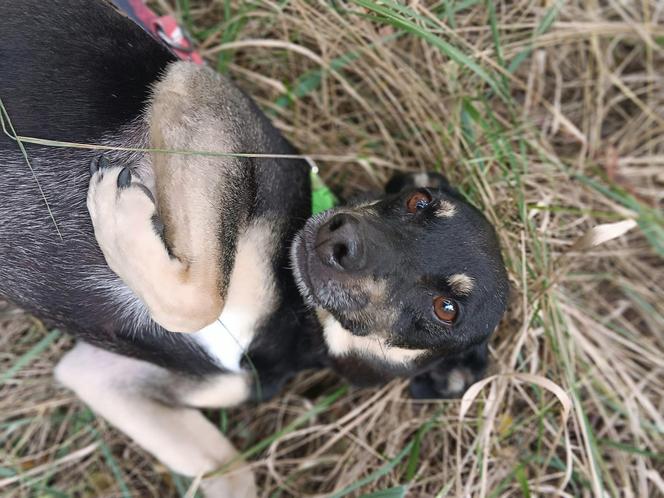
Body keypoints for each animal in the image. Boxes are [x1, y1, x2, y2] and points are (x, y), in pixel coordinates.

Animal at [0, 1, 508, 496]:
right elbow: (203, 298)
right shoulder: (201, 93)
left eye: (446, 309)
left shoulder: (105, 377)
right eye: (417, 200)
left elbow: (236, 471)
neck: (294, 319)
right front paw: (121, 212)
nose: (342, 239)